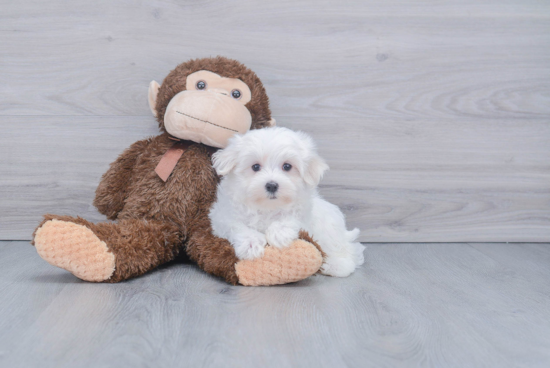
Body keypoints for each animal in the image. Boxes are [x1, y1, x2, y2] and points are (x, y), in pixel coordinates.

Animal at [210, 126, 366, 276]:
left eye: (287, 166)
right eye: (255, 167)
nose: (272, 185)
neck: (268, 207)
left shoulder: (304, 213)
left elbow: (292, 218)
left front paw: (279, 233)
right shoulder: (222, 217)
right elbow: (236, 225)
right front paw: (251, 243)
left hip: (330, 230)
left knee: (348, 250)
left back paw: (335, 265)